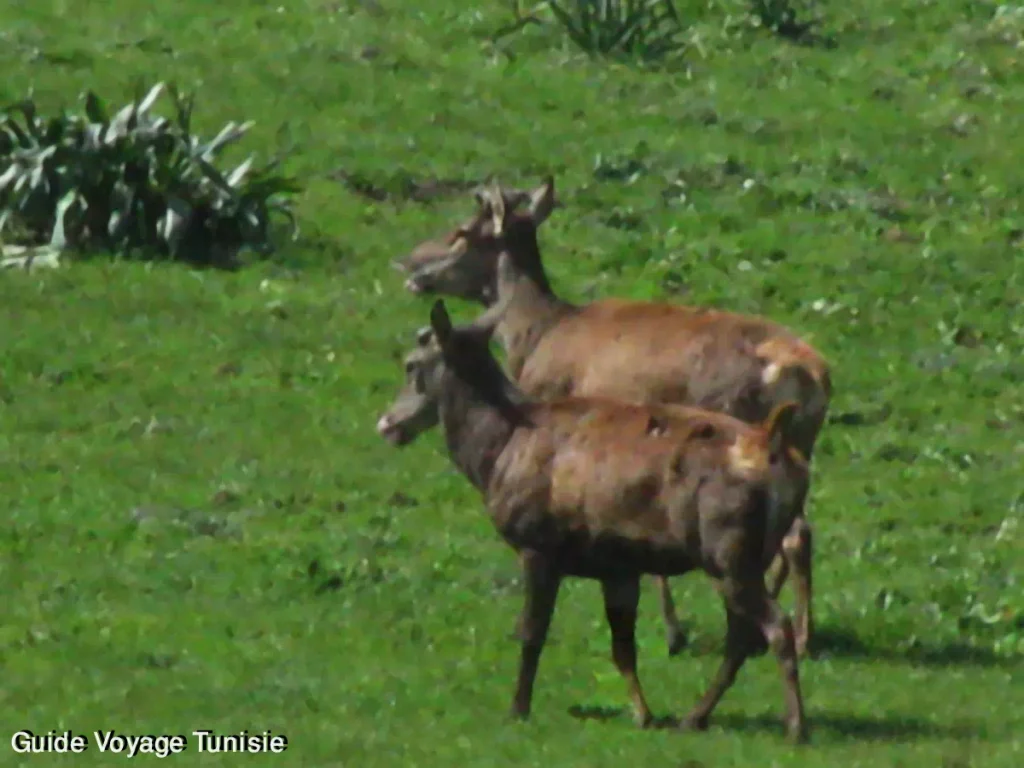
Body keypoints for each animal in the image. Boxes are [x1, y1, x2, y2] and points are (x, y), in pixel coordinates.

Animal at [374, 299, 806, 745]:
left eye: (411, 365)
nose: (387, 423)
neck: (495, 453)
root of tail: (779, 452)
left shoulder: (538, 545)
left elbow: (532, 632)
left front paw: (518, 707)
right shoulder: (617, 566)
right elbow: (623, 647)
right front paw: (643, 714)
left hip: (729, 552)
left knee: (774, 626)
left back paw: (795, 726)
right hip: (740, 556)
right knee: (742, 634)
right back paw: (695, 716)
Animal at [391, 177, 831, 659]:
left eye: (463, 232)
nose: (409, 264)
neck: (535, 335)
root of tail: (813, 376)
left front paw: (673, 632)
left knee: (792, 537)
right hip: (798, 444)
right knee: (801, 533)